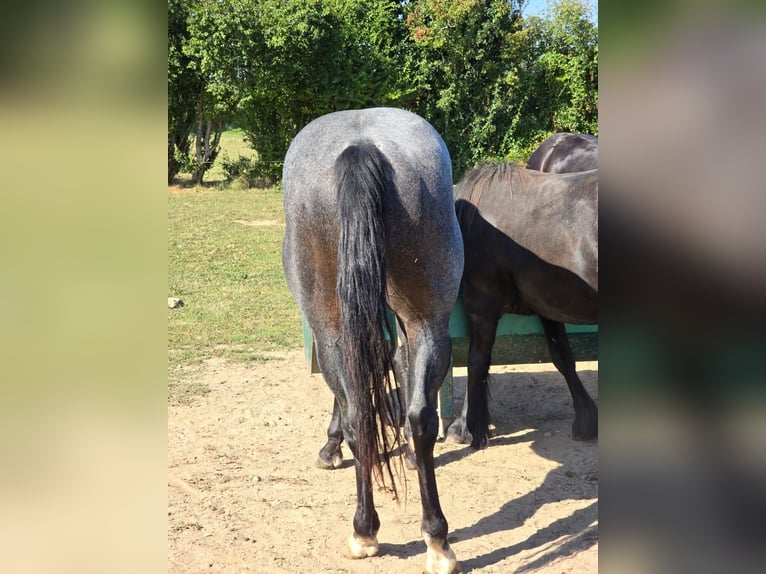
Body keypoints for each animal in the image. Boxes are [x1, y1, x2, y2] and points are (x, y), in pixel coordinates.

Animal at [282, 109, 462, 574]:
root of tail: (361, 145)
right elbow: (395, 367)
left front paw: (329, 447)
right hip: (427, 319)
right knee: (419, 417)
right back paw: (436, 538)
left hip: (330, 325)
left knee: (358, 413)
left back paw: (364, 530)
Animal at [448, 136, 604, 450]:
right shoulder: (550, 302)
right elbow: (562, 356)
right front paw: (585, 419)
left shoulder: (481, 304)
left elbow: (476, 361)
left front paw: (466, 427)